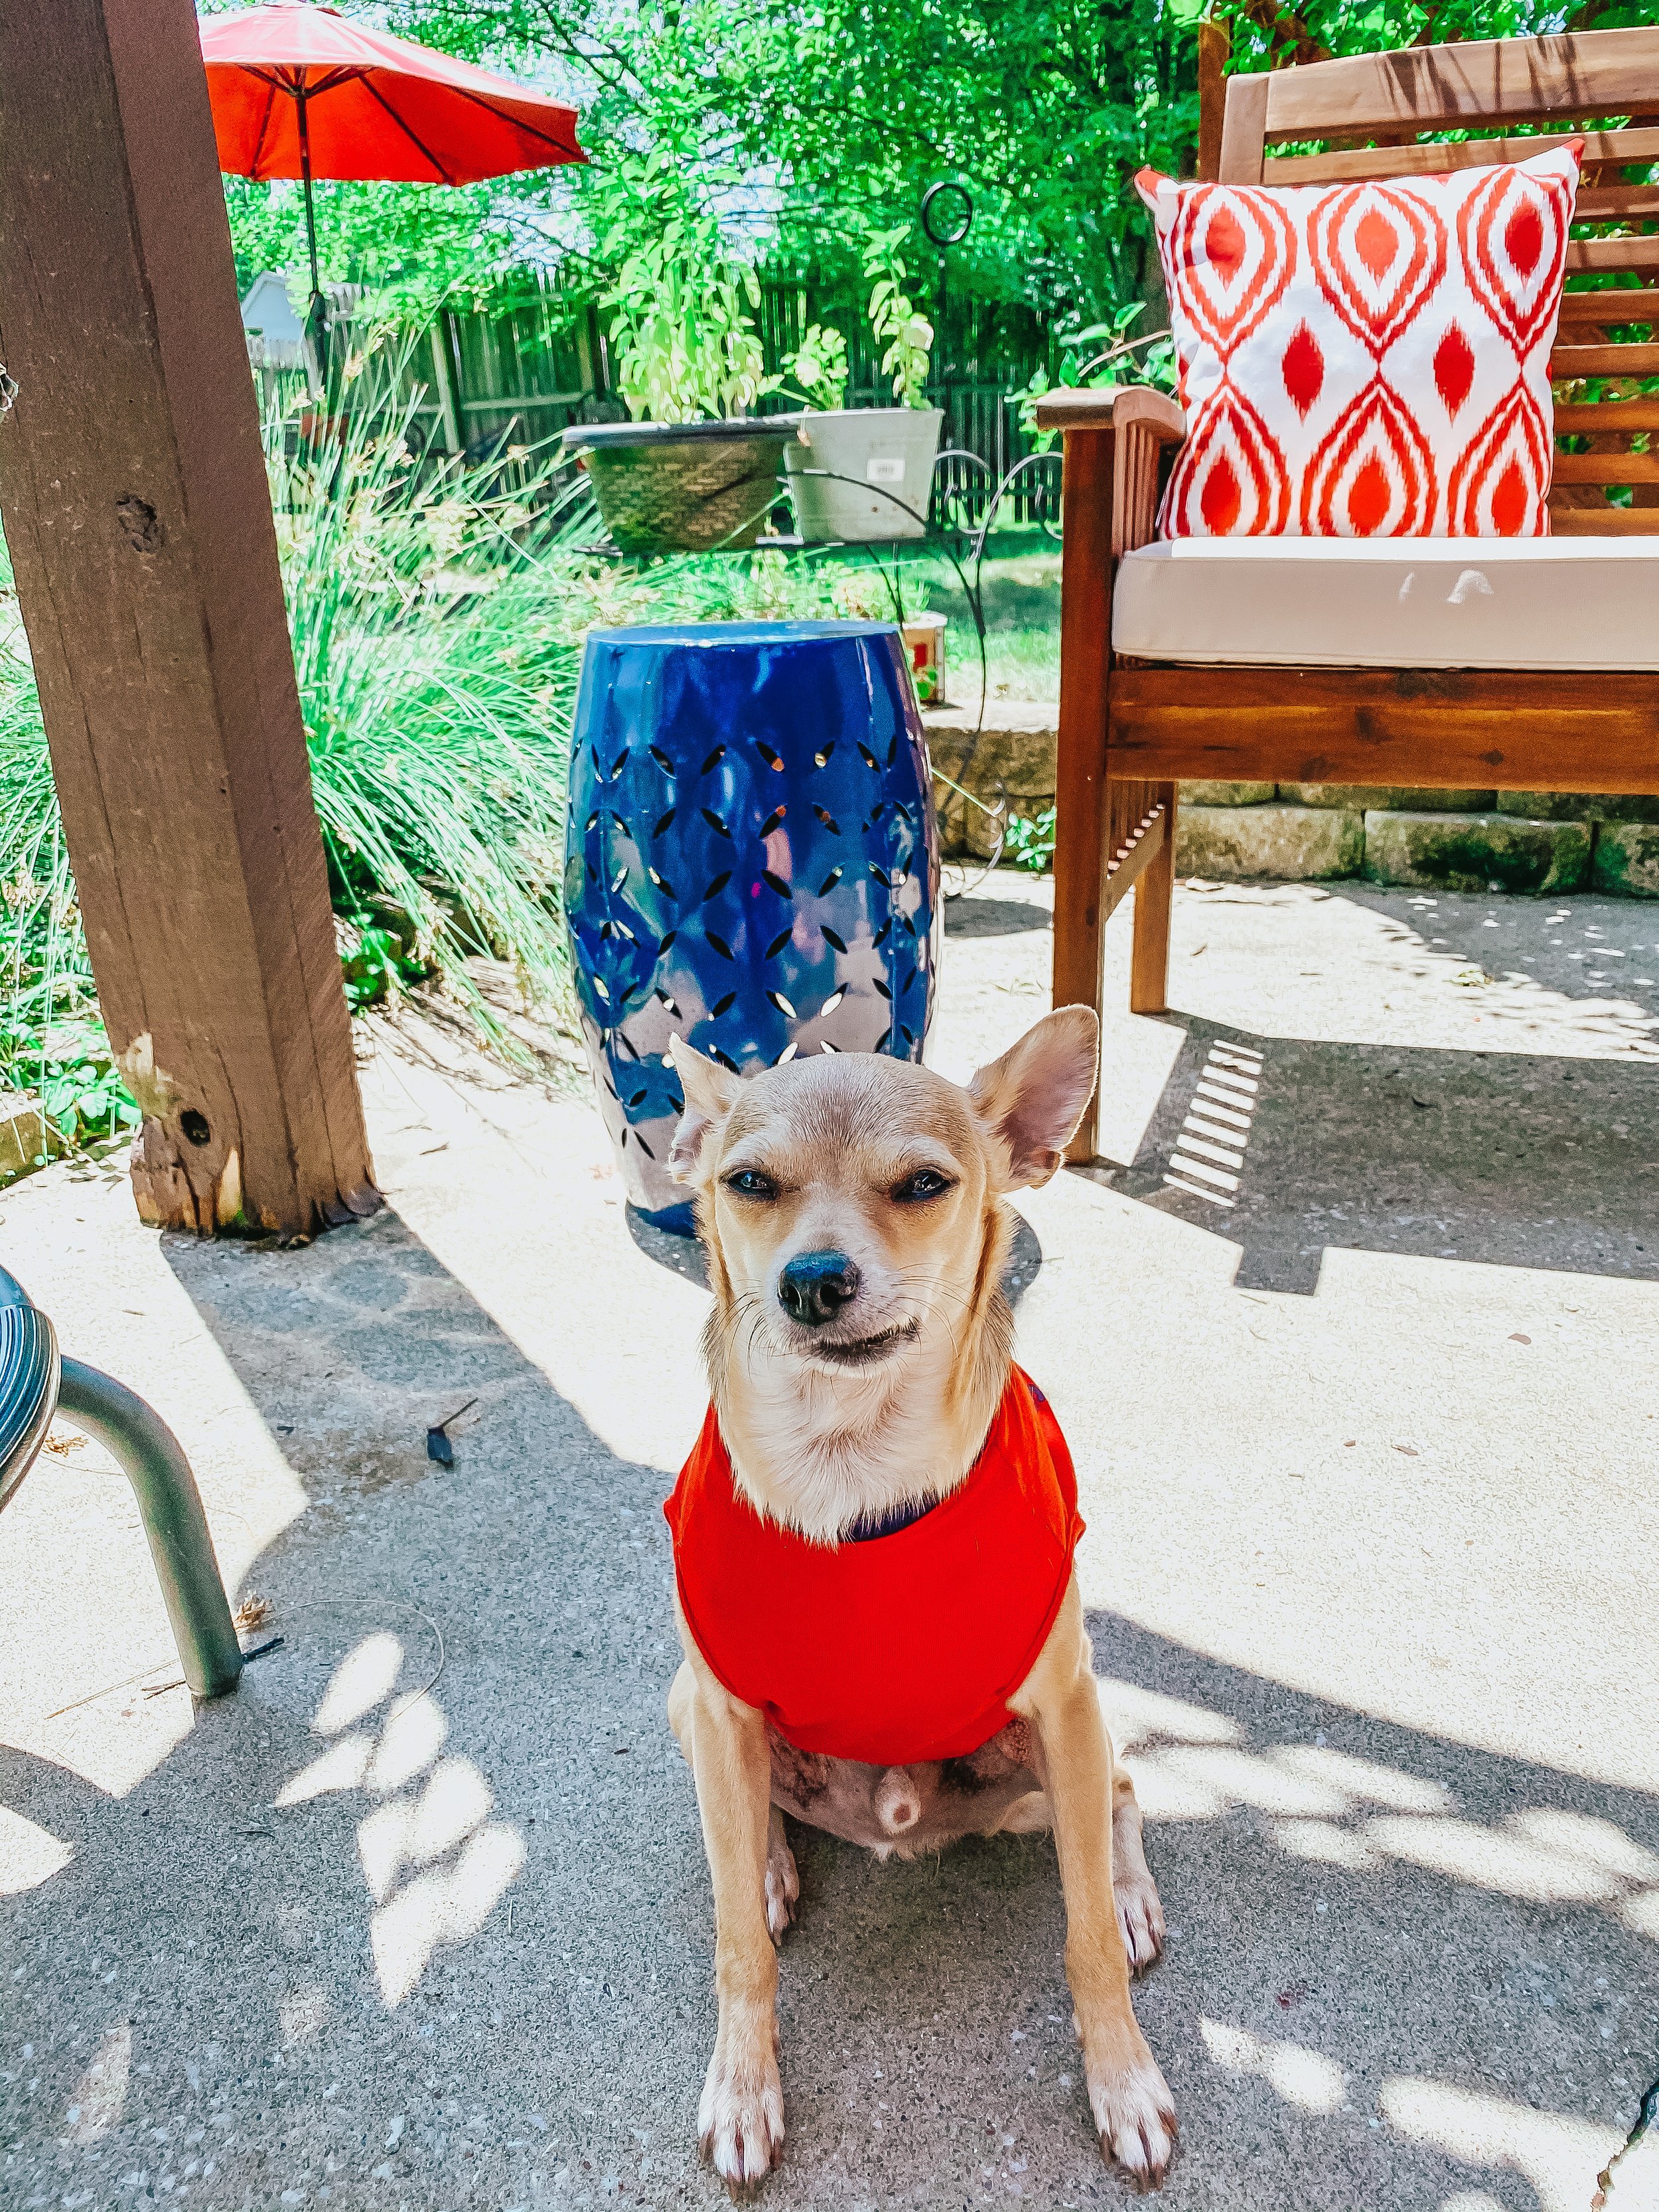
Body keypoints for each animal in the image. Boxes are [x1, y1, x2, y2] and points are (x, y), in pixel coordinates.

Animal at [668, 1013, 1185, 2194]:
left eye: (923, 1184)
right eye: (748, 1181)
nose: (814, 1278)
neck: (847, 1466)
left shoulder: (1067, 1706)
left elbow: (1085, 1936)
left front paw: (1123, 2078)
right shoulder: (720, 1711)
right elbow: (736, 1944)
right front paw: (743, 2085)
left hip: (1063, 1749)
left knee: (1121, 1796)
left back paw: (1131, 1892)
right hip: (689, 1709)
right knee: (750, 1829)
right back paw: (770, 1861)